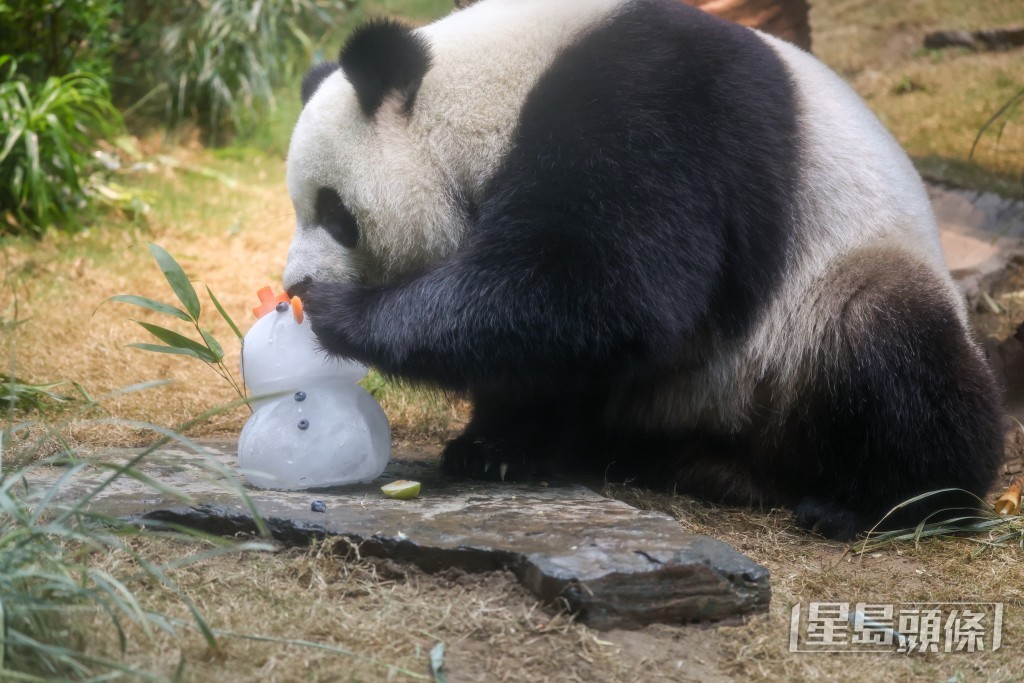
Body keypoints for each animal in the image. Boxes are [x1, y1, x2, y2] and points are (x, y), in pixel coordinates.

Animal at [280, 1, 999, 544]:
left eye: (336, 212)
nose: (290, 283)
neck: (485, 91)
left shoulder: (653, 102)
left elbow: (605, 288)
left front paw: (335, 314)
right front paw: (495, 445)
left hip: (824, 302)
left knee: (892, 344)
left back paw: (880, 502)